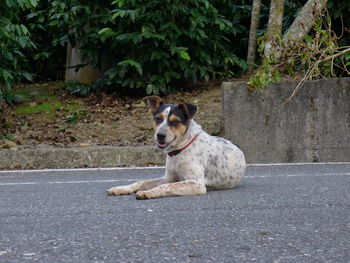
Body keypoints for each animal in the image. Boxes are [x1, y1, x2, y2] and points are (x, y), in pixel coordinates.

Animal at [106, 95, 246, 200]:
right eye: (158, 119)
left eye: (175, 122)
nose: (160, 135)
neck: (179, 150)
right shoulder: (169, 177)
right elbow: (142, 182)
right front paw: (121, 189)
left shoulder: (197, 184)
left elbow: (166, 187)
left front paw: (148, 192)